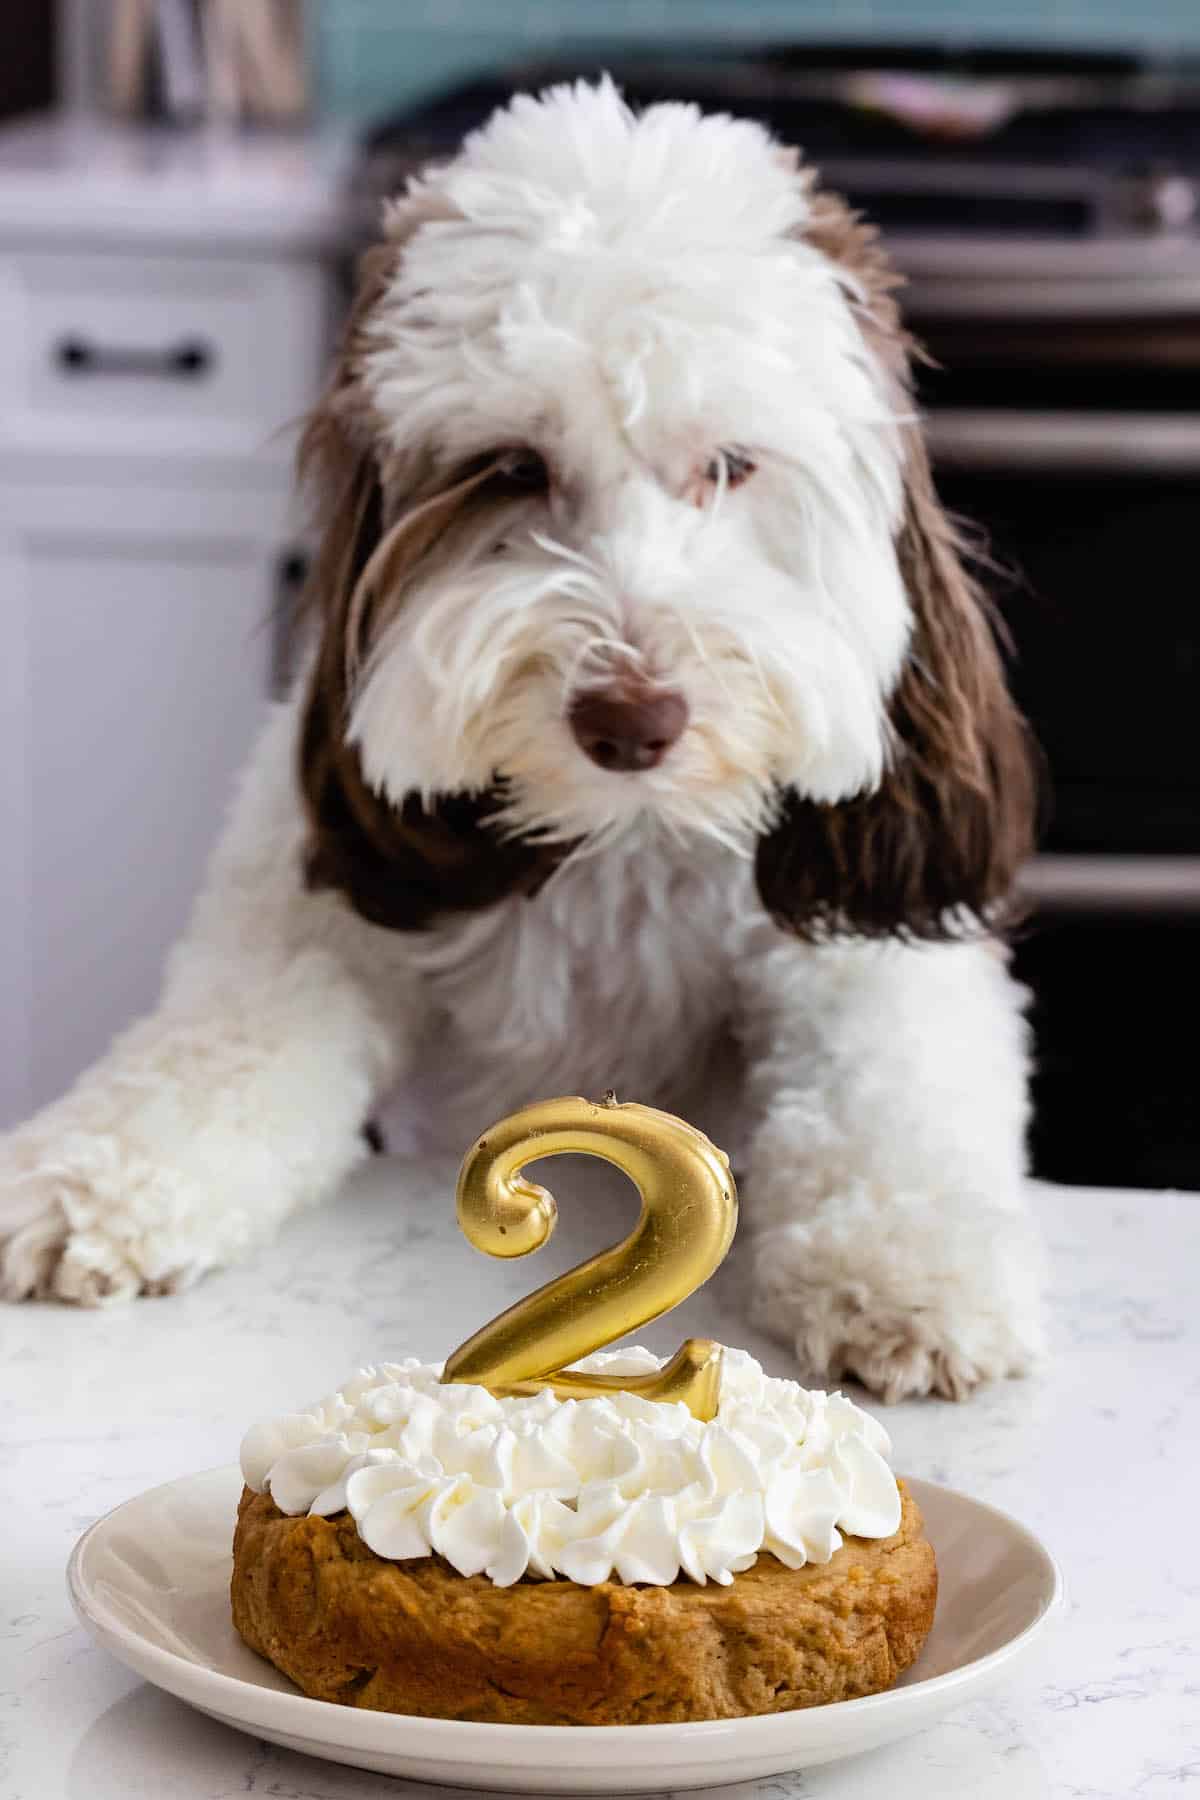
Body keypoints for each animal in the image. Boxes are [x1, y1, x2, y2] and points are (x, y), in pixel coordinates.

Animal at [0, 81, 1043, 1404]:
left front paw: (914, 1277)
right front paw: (79, 1186)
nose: (631, 720)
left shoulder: (854, 952)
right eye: (510, 469)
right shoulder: (302, 933)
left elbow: (892, 1100)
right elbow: (208, 1056)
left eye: (730, 466)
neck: (617, 839)